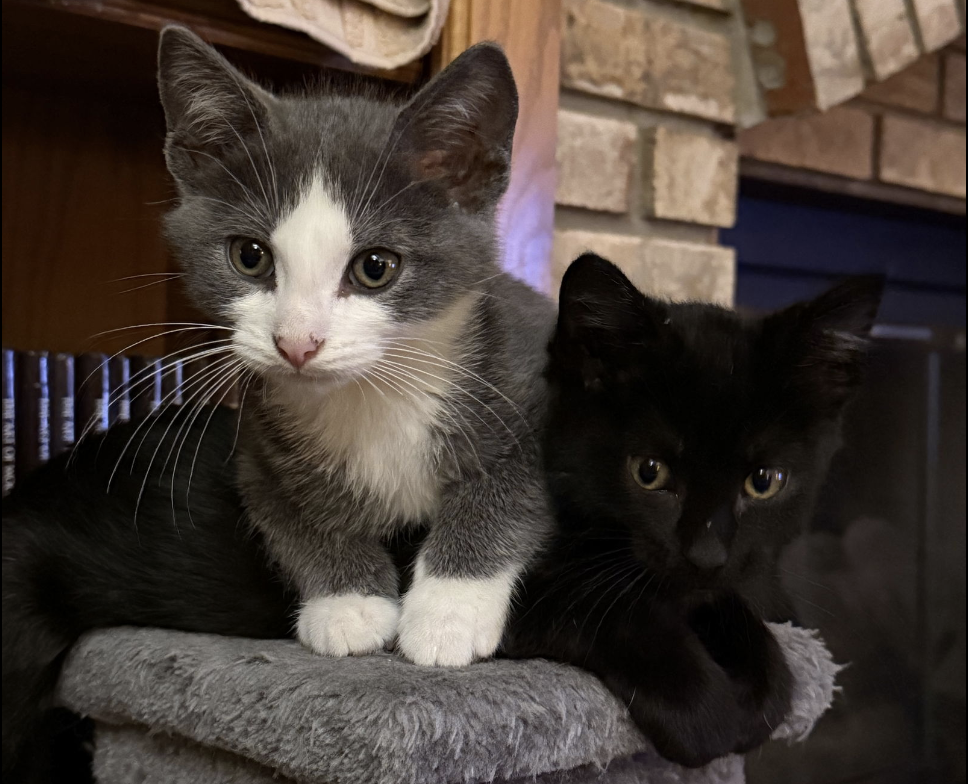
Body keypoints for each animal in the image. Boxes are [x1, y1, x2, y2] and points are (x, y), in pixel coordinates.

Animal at [157, 27, 552, 664]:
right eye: (249, 256)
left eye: (375, 267)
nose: (296, 343)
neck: (376, 395)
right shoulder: (258, 447)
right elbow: (289, 514)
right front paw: (348, 604)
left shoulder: (531, 377)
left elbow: (507, 492)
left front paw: (447, 611)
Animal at [502, 256, 880, 764]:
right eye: (649, 472)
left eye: (764, 481)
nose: (706, 554)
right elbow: (608, 605)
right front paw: (705, 712)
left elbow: (734, 610)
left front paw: (761, 690)